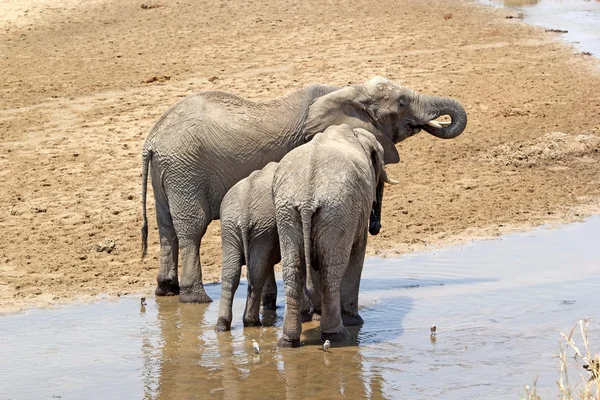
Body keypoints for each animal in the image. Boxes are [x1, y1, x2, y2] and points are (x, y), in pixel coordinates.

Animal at [142, 74, 468, 304]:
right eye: (401, 103)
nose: (376, 225)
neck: (349, 90)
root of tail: (152, 139)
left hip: (170, 172)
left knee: (166, 227)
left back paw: (166, 290)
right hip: (185, 169)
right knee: (191, 230)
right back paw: (195, 298)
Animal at [274, 124, 394, 346]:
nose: (376, 226)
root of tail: (306, 199)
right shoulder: (355, 214)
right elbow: (357, 253)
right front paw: (354, 321)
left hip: (287, 212)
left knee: (294, 270)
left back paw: (288, 341)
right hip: (337, 211)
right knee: (332, 271)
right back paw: (338, 335)